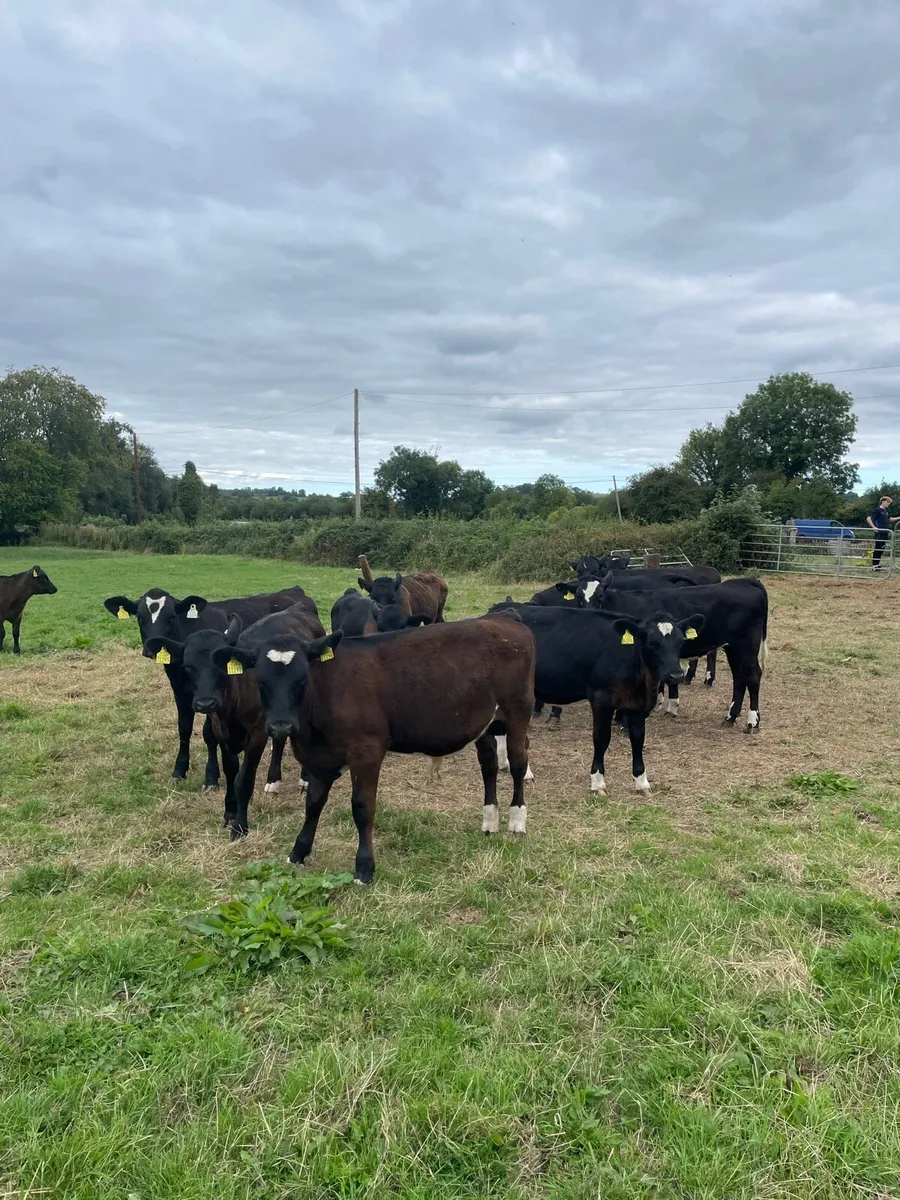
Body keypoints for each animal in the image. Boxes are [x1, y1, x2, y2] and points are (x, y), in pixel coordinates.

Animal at [103, 585, 317, 787]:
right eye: (140, 617)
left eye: (171, 616)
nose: (150, 648)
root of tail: (296, 592)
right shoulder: (180, 692)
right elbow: (184, 728)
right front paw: (179, 770)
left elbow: (208, 733)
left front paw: (211, 776)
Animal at [145, 602, 325, 833]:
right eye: (188, 667)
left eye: (220, 665)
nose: (205, 703)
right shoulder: (221, 733)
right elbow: (231, 772)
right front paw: (229, 811)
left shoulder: (257, 734)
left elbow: (244, 779)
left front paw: (240, 826)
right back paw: (273, 780)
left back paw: (304, 778)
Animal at [224, 615, 536, 884]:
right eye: (262, 682)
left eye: (302, 679)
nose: (281, 726)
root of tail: (507, 621)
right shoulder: (319, 758)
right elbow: (313, 804)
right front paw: (298, 852)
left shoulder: (367, 751)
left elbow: (363, 807)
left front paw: (364, 868)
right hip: (486, 723)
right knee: (489, 765)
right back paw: (490, 820)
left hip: (518, 713)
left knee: (518, 763)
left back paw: (517, 820)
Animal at [487, 601, 701, 794]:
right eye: (652, 644)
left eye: (680, 642)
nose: (676, 675)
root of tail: (502, 609)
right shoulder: (601, 699)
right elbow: (601, 738)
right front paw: (598, 783)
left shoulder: (638, 705)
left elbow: (638, 739)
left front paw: (642, 782)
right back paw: (524, 772)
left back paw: (508, 764)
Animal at [585, 576, 769, 731]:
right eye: (579, 596)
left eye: (600, 596)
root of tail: (743, 581)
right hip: (733, 647)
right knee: (739, 677)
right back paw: (731, 717)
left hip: (747, 644)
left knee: (753, 676)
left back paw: (752, 722)